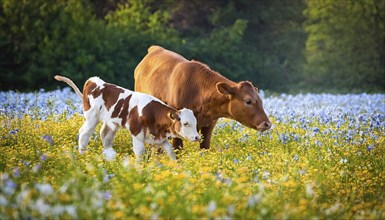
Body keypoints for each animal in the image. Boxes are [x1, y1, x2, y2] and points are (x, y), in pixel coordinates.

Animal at [55, 75, 200, 159]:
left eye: (195, 122)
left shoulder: (159, 137)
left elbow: (170, 151)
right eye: (186, 123)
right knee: (84, 134)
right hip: (92, 117)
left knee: (105, 137)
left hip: (111, 123)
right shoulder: (137, 134)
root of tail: (95, 81)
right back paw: (82, 155)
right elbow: (139, 153)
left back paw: (109, 156)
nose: (197, 137)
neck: (152, 113)